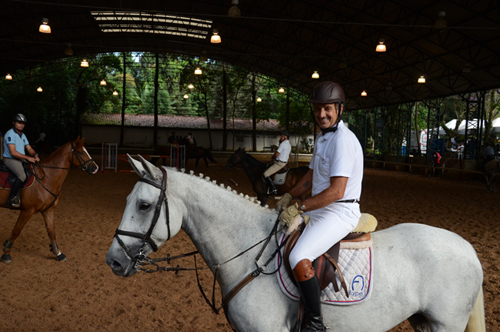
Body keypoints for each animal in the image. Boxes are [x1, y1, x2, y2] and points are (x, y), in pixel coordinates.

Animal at [0, 136, 98, 264]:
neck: (47, 177)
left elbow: (51, 232)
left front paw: (58, 253)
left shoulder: (48, 210)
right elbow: (16, 230)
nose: (95, 168)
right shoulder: (27, 211)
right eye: (80, 152)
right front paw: (6, 253)